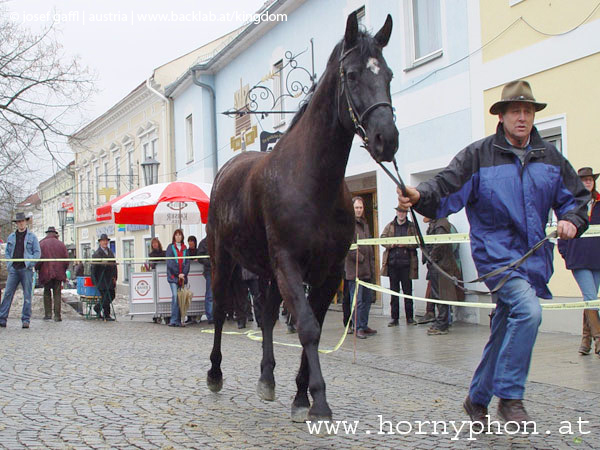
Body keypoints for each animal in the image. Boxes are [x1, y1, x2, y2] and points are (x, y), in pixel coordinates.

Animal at [206, 12, 398, 424]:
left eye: (388, 74)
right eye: (352, 75)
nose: (386, 139)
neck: (311, 181)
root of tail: (226, 170)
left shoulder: (328, 270)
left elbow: (317, 324)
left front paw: (300, 396)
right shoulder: (290, 264)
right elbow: (308, 327)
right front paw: (319, 403)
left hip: (267, 271)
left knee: (264, 315)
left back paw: (267, 379)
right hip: (224, 260)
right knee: (221, 310)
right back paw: (214, 373)